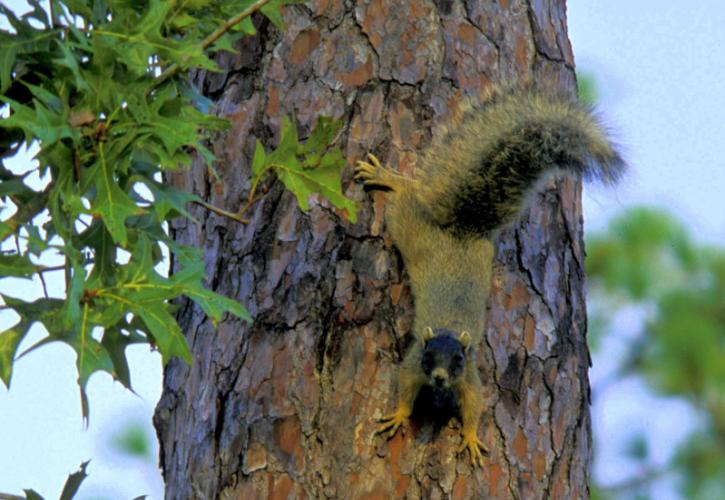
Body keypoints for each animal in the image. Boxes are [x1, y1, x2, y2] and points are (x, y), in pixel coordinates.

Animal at [352, 84, 624, 466]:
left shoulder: (469, 376)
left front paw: (469, 438)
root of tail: (461, 230)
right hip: (407, 224)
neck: (449, 330)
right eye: (429, 356)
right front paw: (400, 416)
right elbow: (405, 388)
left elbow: (474, 404)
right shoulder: (413, 363)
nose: (439, 379)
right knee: (407, 195)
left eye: (457, 360)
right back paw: (389, 178)